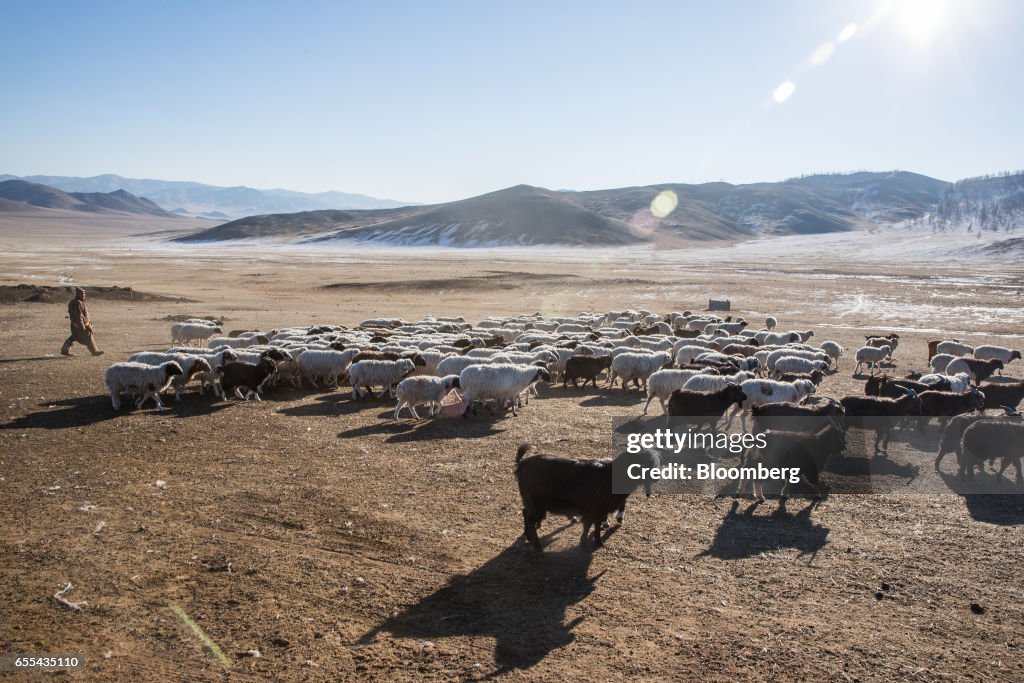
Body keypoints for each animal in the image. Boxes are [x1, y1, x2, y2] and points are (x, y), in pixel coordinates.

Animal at [516, 444, 659, 548]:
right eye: (646, 462)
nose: (656, 478)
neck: (611, 475)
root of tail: (521, 463)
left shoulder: (595, 509)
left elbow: (590, 525)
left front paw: (587, 541)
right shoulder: (596, 508)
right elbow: (592, 525)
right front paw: (597, 542)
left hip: (529, 501)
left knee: (525, 513)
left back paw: (528, 537)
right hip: (537, 504)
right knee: (529, 518)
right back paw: (537, 545)